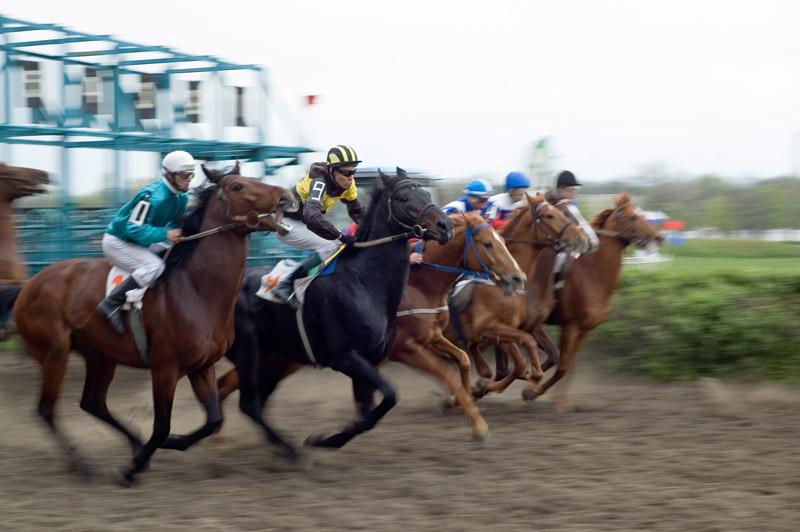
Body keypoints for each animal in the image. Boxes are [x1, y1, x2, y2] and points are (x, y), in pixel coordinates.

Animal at [10, 163, 295, 485]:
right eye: (237, 186)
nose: (286, 197)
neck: (197, 289)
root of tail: (29, 285)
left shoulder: (202, 367)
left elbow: (213, 419)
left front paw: (168, 446)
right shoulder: (165, 368)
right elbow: (161, 426)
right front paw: (131, 469)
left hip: (101, 356)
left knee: (92, 402)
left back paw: (133, 444)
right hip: (54, 353)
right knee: (45, 409)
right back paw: (83, 465)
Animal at [216, 168, 453, 458]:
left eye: (426, 195)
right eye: (403, 198)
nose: (445, 226)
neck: (364, 282)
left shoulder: (369, 360)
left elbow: (369, 411)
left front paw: (331, 438)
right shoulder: (344, 357)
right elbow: (389, 396)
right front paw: (322, 440)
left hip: (273, 358)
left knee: (257, 403)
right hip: (248, 353)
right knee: (249, 404)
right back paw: (290, 450)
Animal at [389, 211, 525, 441]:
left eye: (503, 241)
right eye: (488, 243)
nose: (518, 278)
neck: (420, 286)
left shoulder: (434, 337)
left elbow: (464, 360)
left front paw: (464, 398)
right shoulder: (403, 347)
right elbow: (448, 370)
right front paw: (476, 421)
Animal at [443, 193, 589, 398]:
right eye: (550, 215)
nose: (582, 238)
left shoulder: (519, 327)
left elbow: (531, 361)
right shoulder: (494, 328)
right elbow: (517, 364)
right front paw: (483, 386)